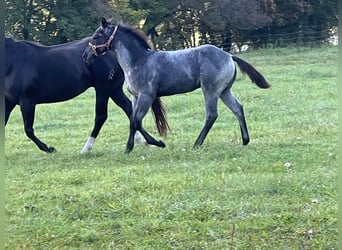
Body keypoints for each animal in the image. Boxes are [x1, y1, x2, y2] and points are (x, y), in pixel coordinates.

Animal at [4, 36, 167, 153]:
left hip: (103, 89)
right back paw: (143, 142)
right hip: (114, 90)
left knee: (101, 117)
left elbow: (28, 130)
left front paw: (49, 149)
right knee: (129, 110)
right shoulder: (8, 102)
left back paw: (86, 148)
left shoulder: (27, 101)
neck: (12, 62)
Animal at [82, 17, 270, 152]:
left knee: (212, 115)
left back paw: (197, 144)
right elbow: (133, 121)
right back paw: (245, 140)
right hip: (224, 91)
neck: (138, 61)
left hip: (210, 91)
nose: (85, 56)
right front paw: (130, 147)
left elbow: (136, 121)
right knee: (237, 108)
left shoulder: (146, 95)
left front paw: (157, 143)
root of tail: (229, 56)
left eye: (96, 36)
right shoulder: (135, 96)